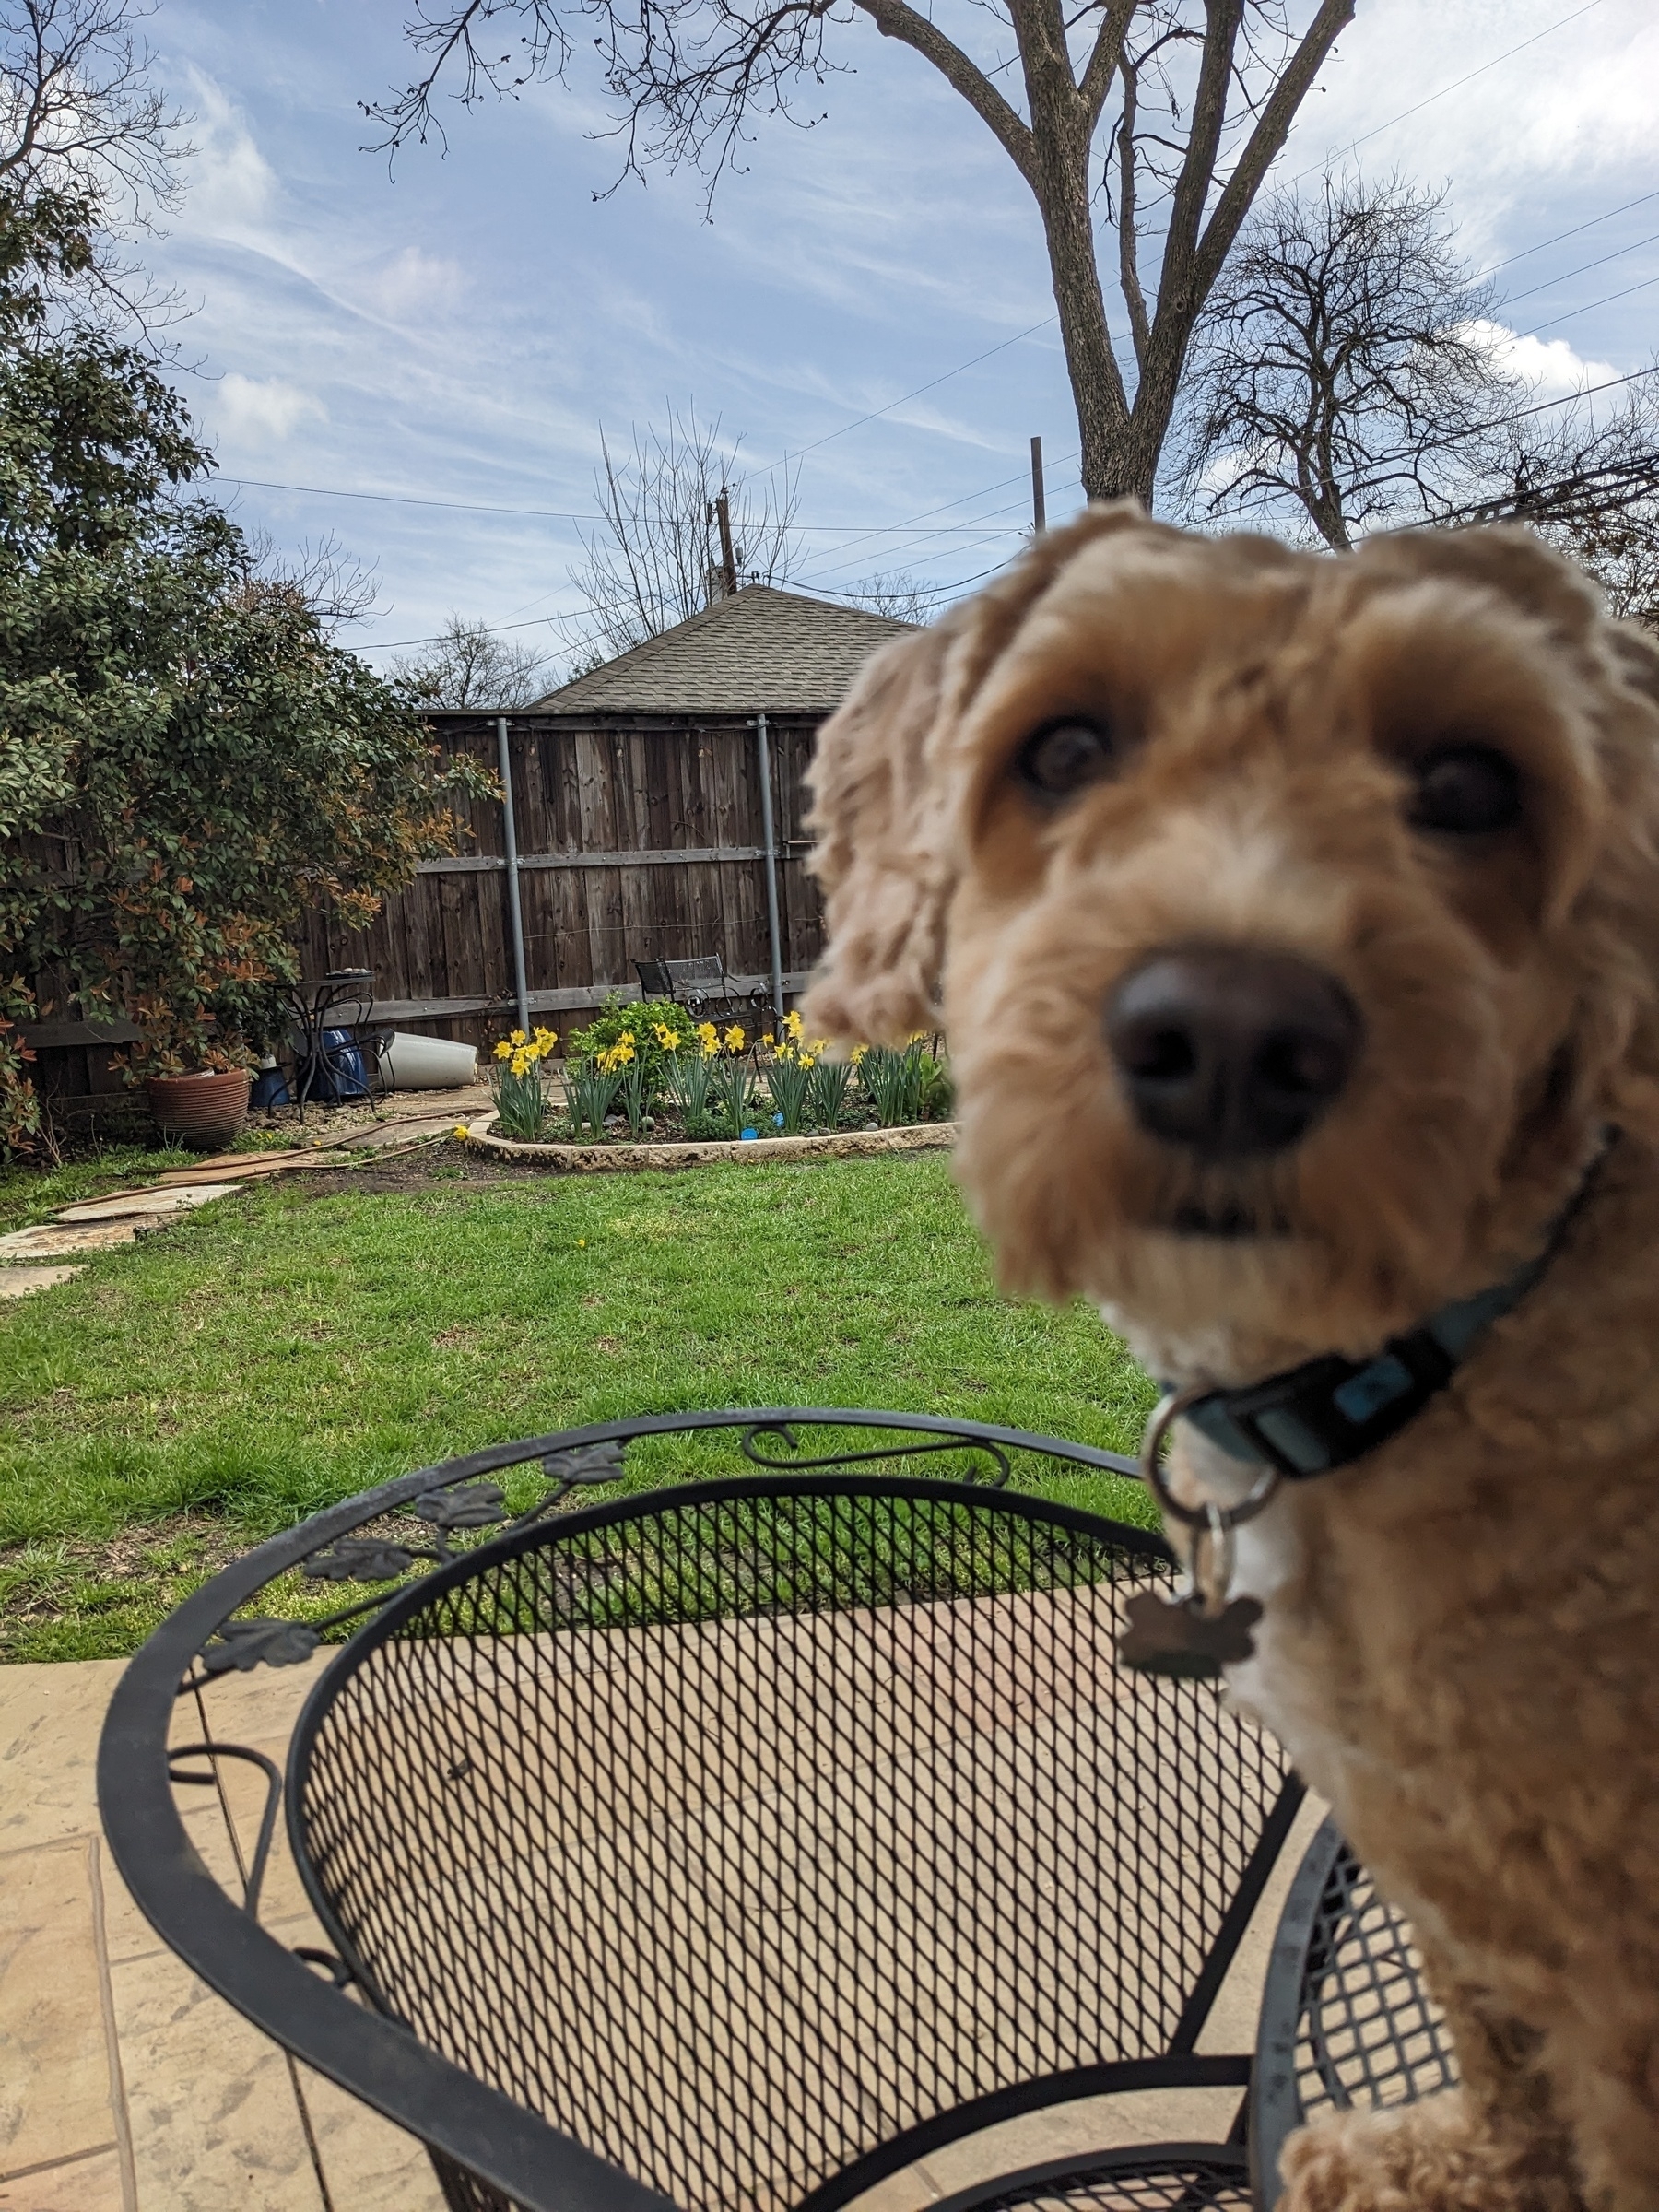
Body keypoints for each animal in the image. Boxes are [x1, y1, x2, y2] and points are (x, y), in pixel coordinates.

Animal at [800, 506, 1659, 2212]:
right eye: (1065, 746)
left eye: (1473, 781)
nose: (1230, 1039)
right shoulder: (1438, 1846)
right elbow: (1493, 2029)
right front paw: (1456, 2164)